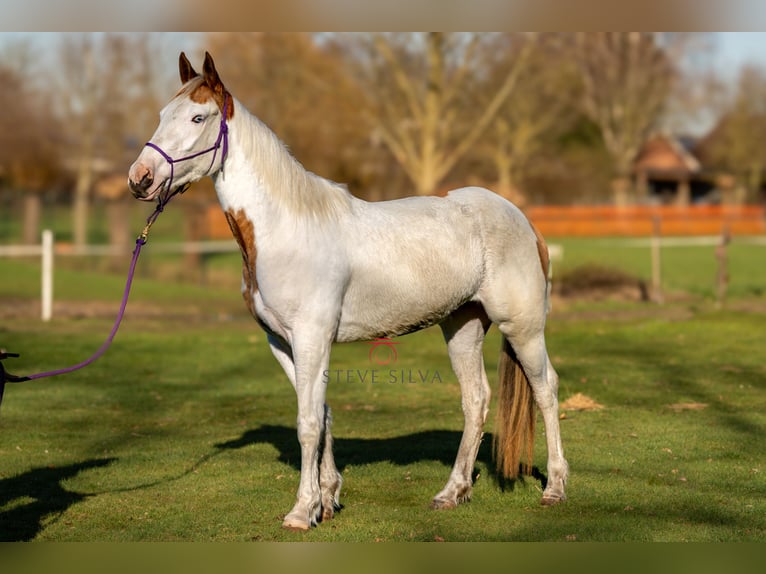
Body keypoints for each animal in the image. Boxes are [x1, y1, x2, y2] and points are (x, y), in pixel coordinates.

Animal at [128, 51, 568, 531]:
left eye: (198, 117)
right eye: (160, 115)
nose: (140, 178)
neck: (286, 228)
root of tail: (521, 218)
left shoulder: (312, 338)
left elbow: (307, 423)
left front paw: (301, 510)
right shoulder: (281, 342)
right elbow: (320, 413)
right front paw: (327, 498)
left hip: (522, 328)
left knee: (546, 390)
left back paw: (554, 488)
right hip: (463, 326)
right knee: (476, 400)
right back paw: (452, 493)